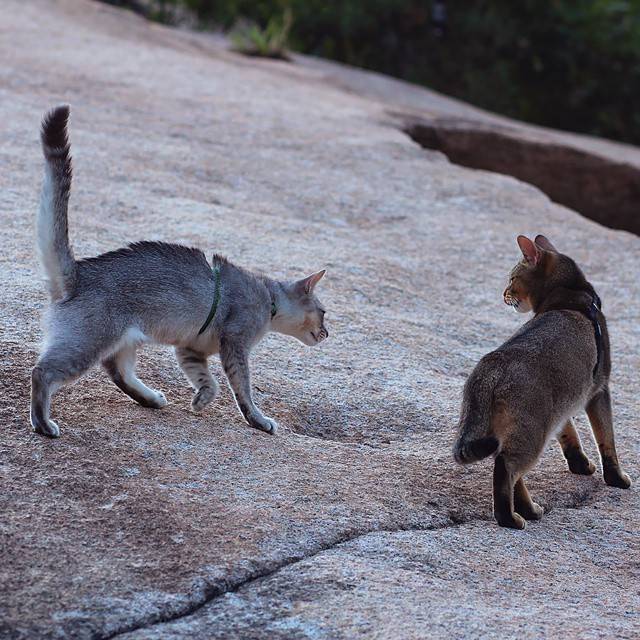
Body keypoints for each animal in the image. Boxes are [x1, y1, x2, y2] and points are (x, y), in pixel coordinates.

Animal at [31, 107, 328, 438]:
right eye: (323, 312)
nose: (327, 333)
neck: (268, 297)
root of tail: (79, 273)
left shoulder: (191, 348)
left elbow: (206, 380)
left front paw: (202, 399)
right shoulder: (235, 344)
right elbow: (242, 388)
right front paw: (258, 419)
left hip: (122, 340)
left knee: (118, 372)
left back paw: (151, 398)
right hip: (87, 341)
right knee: (42, 372)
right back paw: (43, 423)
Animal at [456, 235, 632, 528]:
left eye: (513, 278)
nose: (504, 293)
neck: (570, 297)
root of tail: (490, 363)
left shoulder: (563, 403)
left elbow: (568, 432)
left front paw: (580, 464)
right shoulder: (599, 389)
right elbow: (607, 439)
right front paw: (616, 478)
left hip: (514, 427)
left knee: (510, 469)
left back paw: (528, 510)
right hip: (532, 430)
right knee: (505, 467)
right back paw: (510, 518)